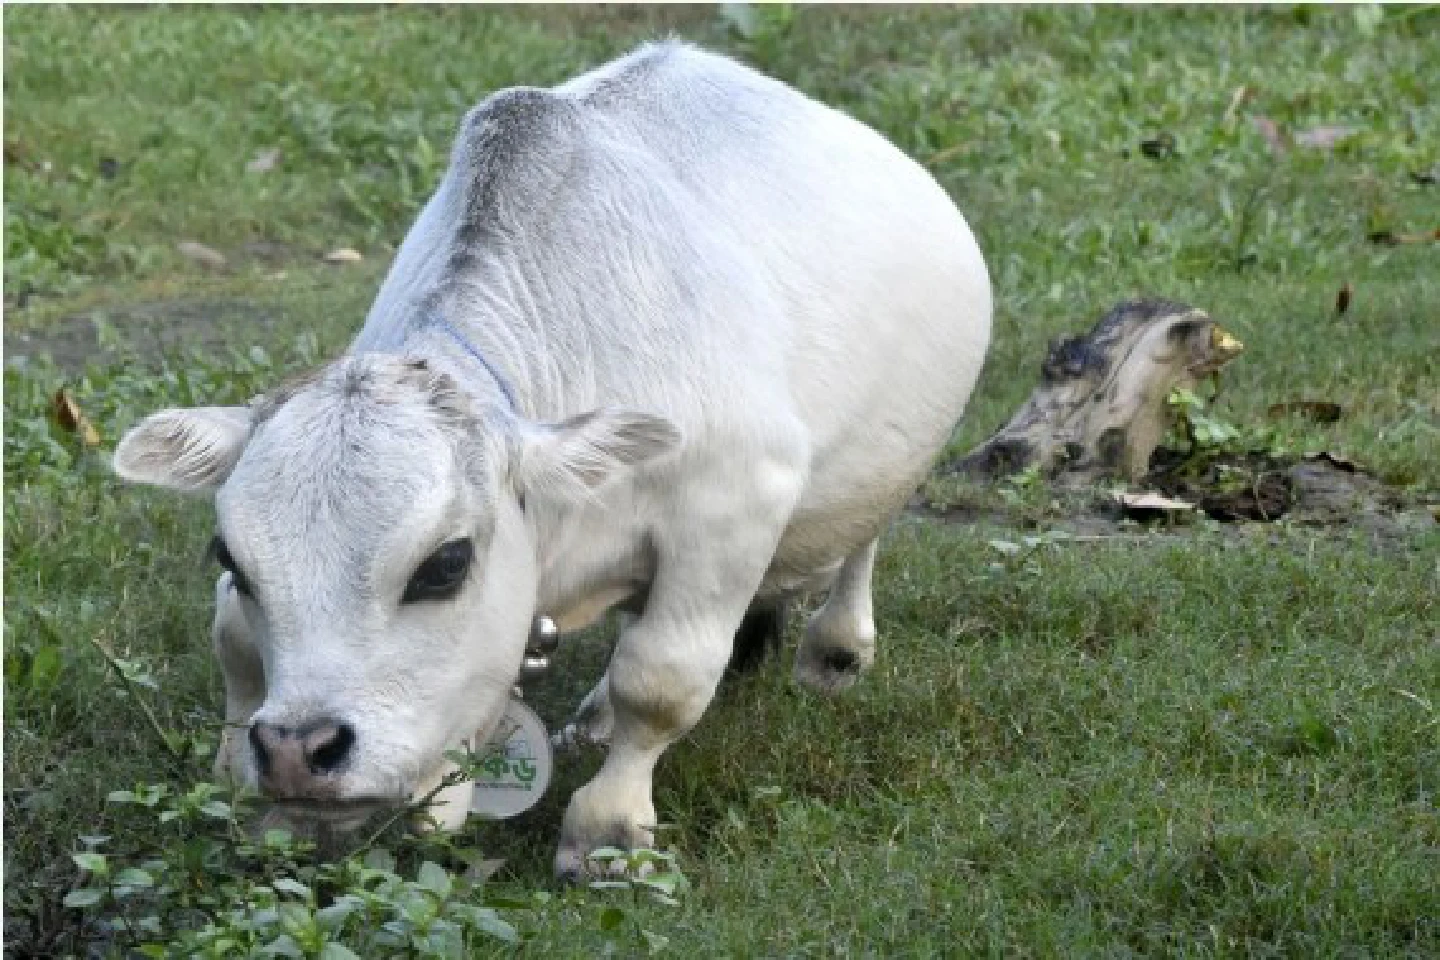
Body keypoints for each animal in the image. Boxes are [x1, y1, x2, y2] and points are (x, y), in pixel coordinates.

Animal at [113, 41, 991, 878]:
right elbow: (232, 639)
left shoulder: (732, 509)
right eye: (232, 557)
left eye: (445, 564)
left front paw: (608, 831)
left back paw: (835, 647)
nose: (300, 749)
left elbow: (662, 679)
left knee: (861, 542)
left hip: (889, 465)